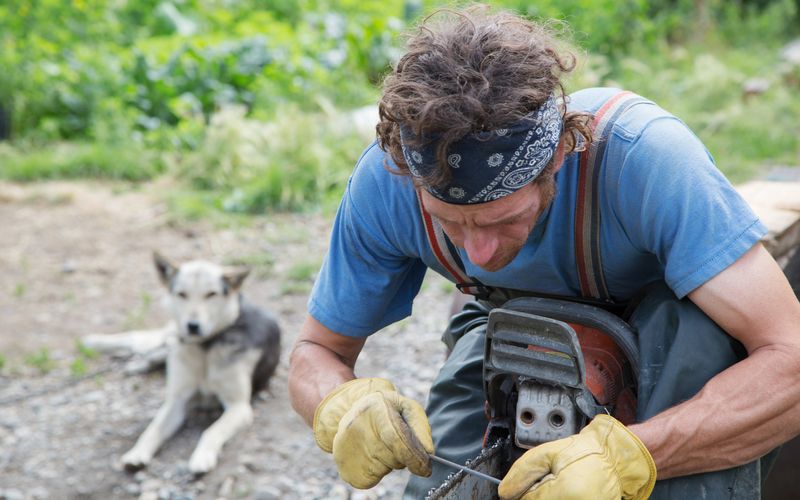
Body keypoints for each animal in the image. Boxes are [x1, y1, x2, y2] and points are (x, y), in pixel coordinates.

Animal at [82, 252, 282, 474]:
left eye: (211, 294)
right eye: (182, 294)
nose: (192, 326)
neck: (204, 349)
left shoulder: (239, 406)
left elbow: (211, 431)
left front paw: (202, 457)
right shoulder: (176, 400)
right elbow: (153, 429)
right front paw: (136, 454)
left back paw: (137, 363)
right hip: (168, 335)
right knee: (137, 339)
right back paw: (93, 342)